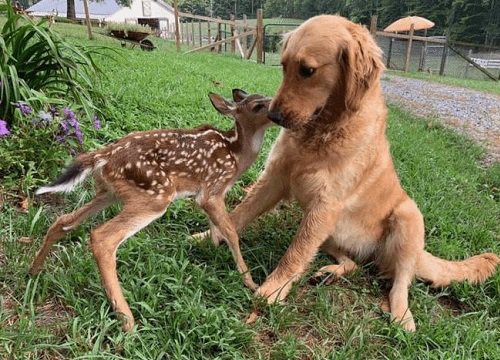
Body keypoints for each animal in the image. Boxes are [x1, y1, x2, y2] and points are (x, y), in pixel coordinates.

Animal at [201, 16, 498, 332]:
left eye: (307, 71)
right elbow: (238, 215)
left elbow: (294, 253)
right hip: (330, 232)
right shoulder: (276, 179)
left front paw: (273, 289)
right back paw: (331, 272)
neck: (322, 131)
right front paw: (206, 236)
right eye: (283, 66)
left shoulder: (325, 205)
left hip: (407, 217)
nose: (275, 116)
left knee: (400, 282)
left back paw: (402, 317)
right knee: (353, 263)